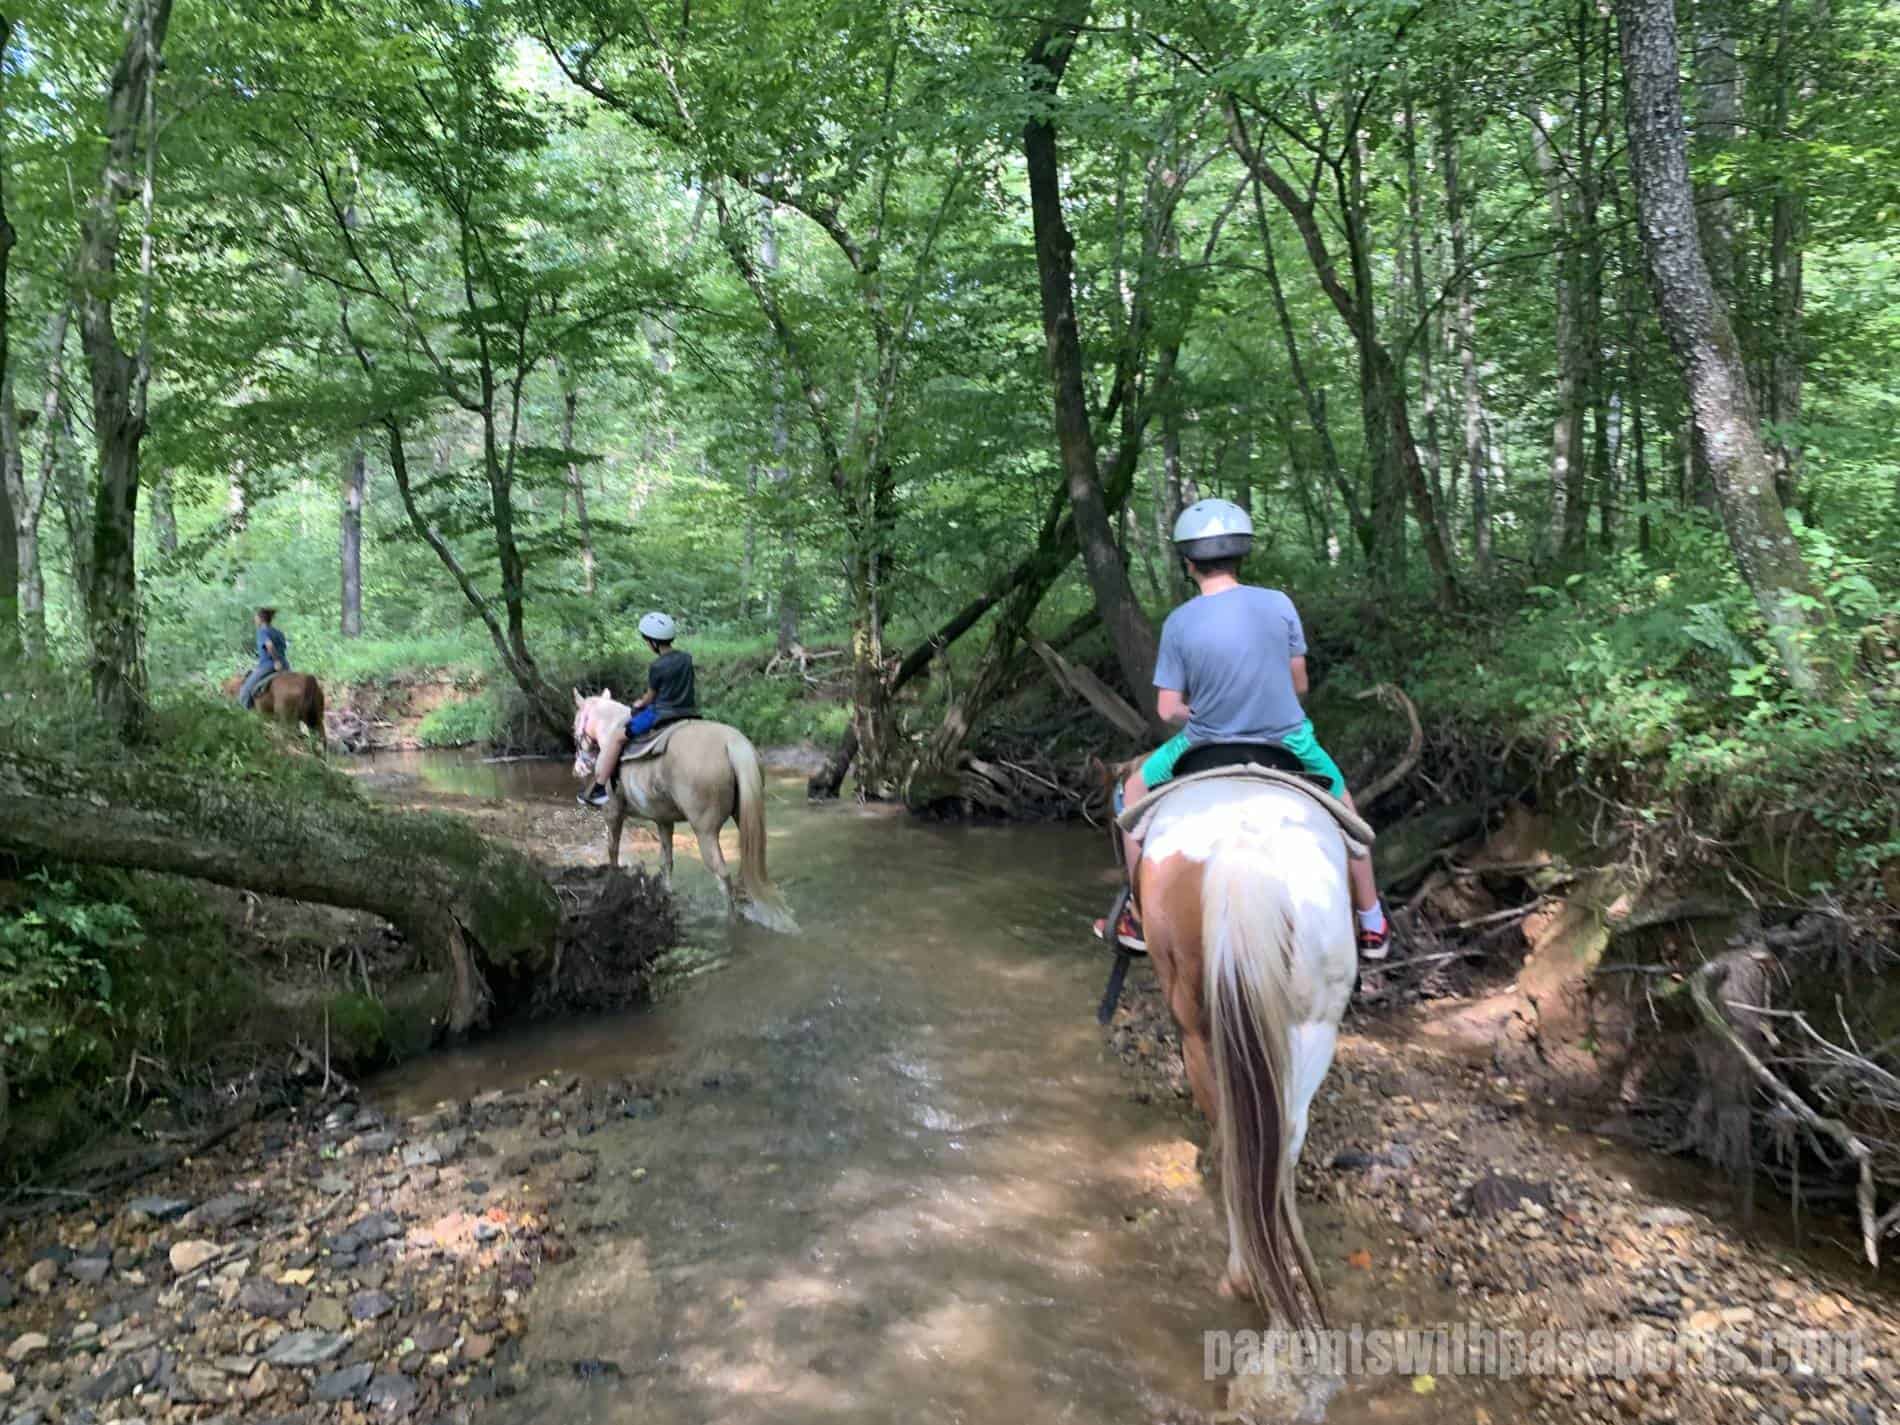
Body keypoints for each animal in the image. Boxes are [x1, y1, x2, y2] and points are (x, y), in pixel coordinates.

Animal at [572, 691, 797, 933]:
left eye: (575, 729)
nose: (578, 769)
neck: (609, 729)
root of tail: (732, 743)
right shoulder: (663, 821)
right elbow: (667, 862)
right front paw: (666, 895)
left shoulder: (613, 813)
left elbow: (613, 851)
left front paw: (613, 882)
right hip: (744, 819)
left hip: (705, 832)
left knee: (722, 875)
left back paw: (732, 920)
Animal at [1123, 771, 1359, 1327]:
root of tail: (1244, 850)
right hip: (1316, 1023)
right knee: (1284, 1131)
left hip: (1199, 1028)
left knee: (1234, 1132)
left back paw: (1242, 1275)